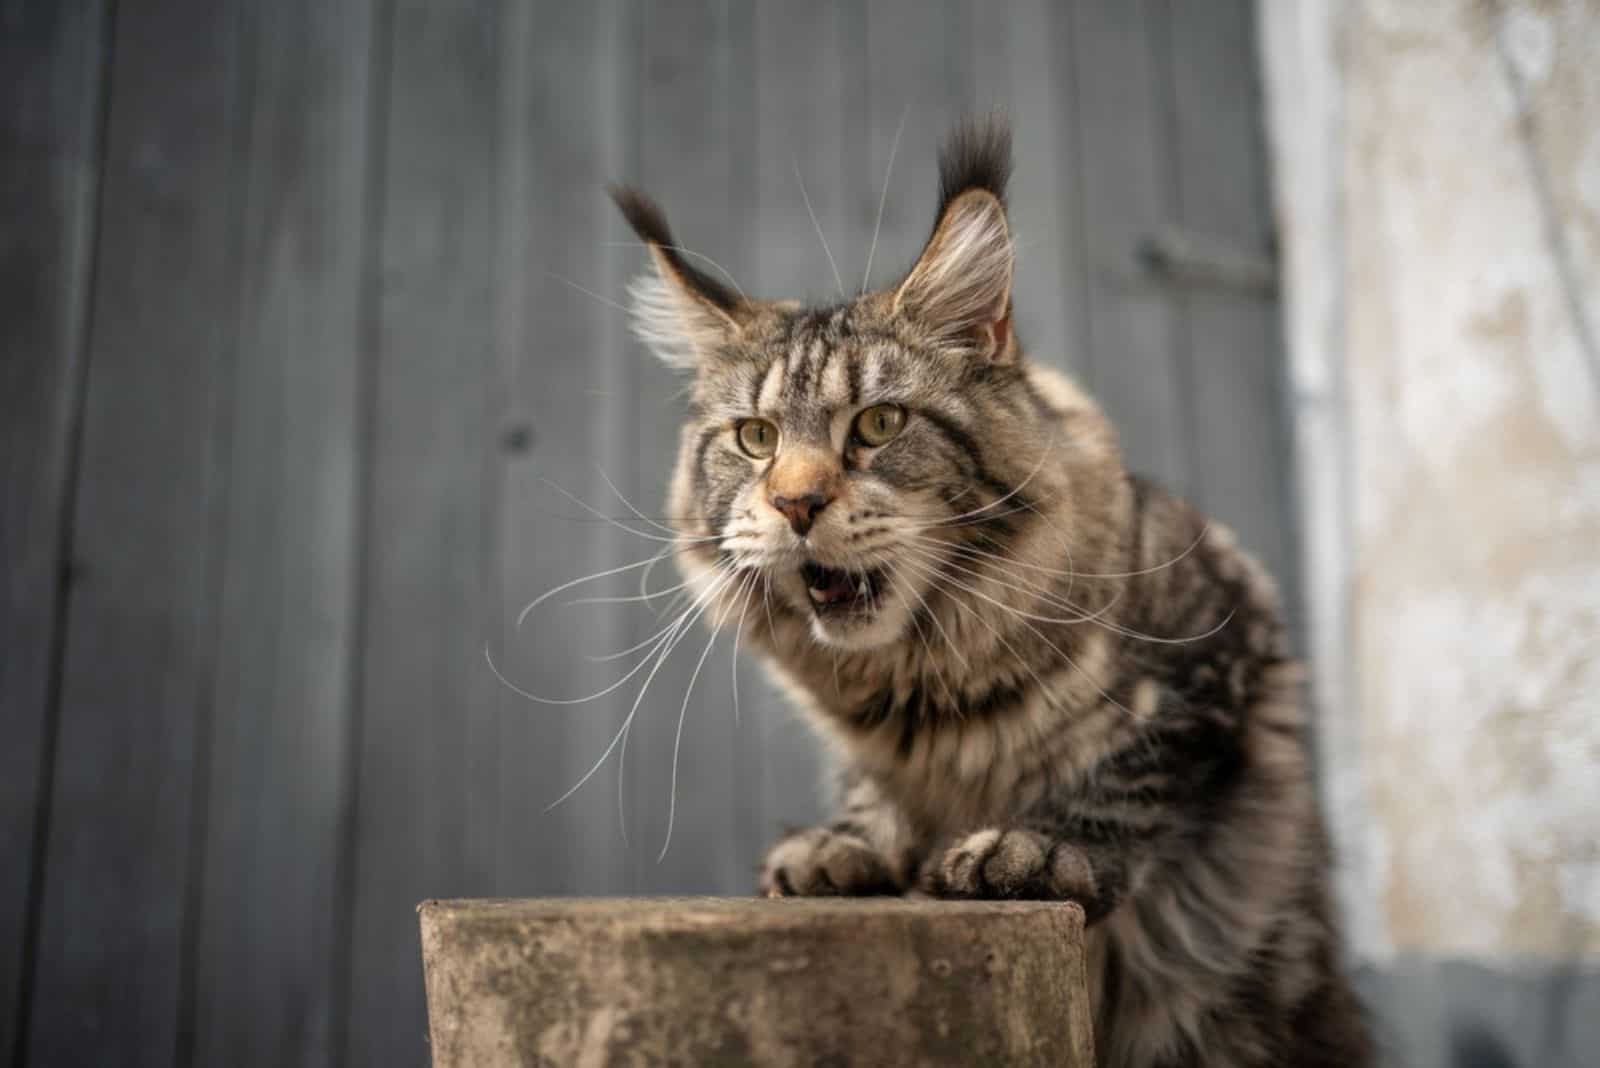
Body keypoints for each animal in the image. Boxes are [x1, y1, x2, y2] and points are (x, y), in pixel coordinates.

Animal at [604, 119, 1369, 1068]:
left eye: (879, 425)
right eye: (755, 438)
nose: (795, 504)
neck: (928, 690)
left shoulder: (1212, 647)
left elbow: (1125, 774)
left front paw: (1035, 849)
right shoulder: (872, 746)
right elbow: (868, 790)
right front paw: (847, 847)